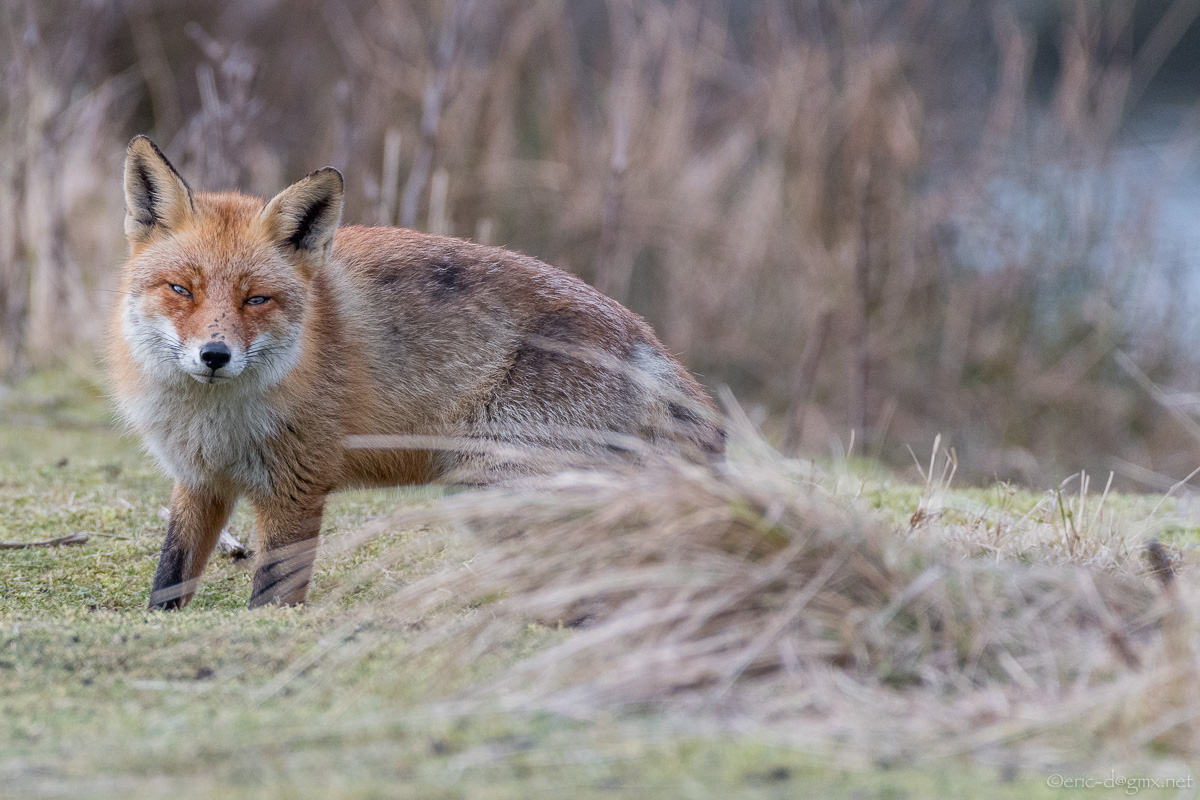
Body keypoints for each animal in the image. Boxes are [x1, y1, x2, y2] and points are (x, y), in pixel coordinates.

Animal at [110, 136, 724, 610]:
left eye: (256, 299)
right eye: (181, 289)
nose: (214, 355)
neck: (216, 420)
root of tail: (642, 334)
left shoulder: (295, 486)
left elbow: (273, 594)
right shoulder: (199, 480)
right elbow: (169, 577)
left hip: (499, 489)